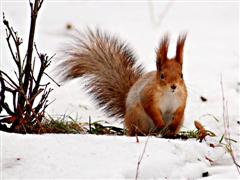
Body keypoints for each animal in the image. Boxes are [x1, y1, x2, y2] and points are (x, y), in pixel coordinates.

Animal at [58, 28, 188, 137]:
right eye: (162, 76)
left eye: (181, 75)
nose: (173, 86)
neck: (169, 94)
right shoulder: (148, 94)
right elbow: (150, 109)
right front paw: (160, 123)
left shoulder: (182, 98)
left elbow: (180, 111)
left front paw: (172, 126)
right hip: (138, 117)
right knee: (138, 131)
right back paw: (146, 133)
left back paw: (170, 134)